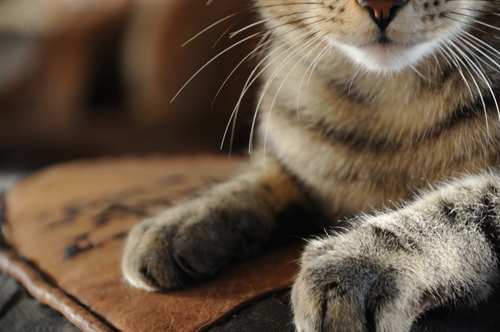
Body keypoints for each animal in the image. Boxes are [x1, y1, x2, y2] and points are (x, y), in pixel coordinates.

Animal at [122, 0, 500, 330]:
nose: (380, 6)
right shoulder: (302, 163)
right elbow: (261, 181)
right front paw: (179, 222)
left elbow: (458, 206)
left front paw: (362, 261)